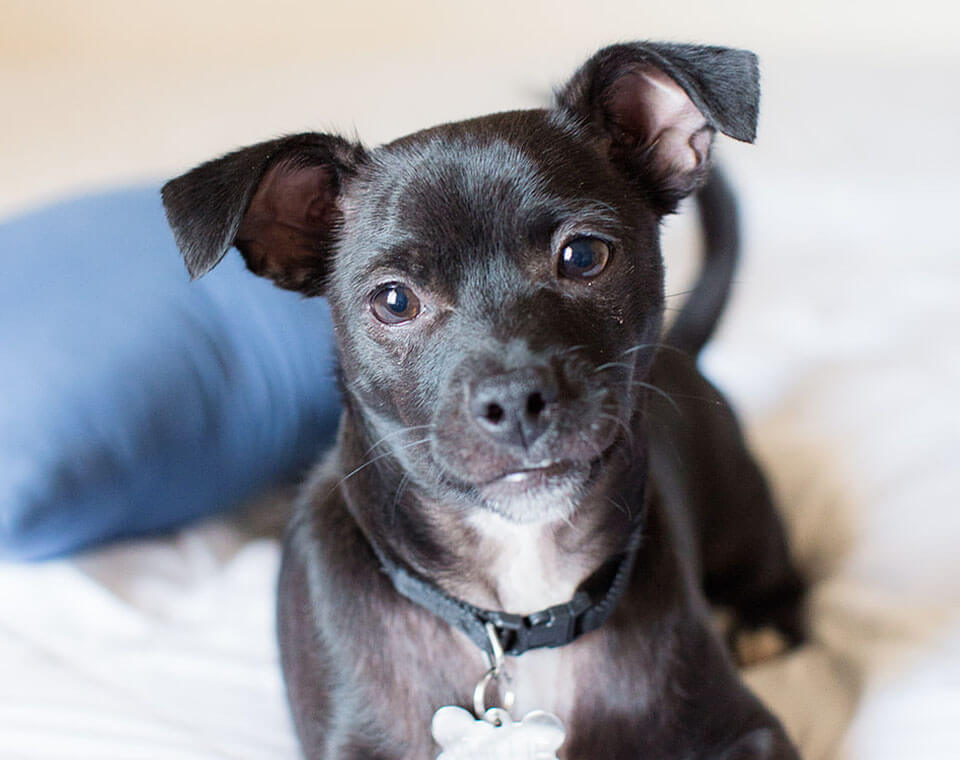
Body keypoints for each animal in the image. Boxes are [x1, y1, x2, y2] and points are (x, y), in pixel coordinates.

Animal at [163, 43, 804, 760]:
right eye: (394, 300)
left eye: (584, 256)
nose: (516, 400)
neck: (517, 616)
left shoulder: (752, 731)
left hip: (744, 516)